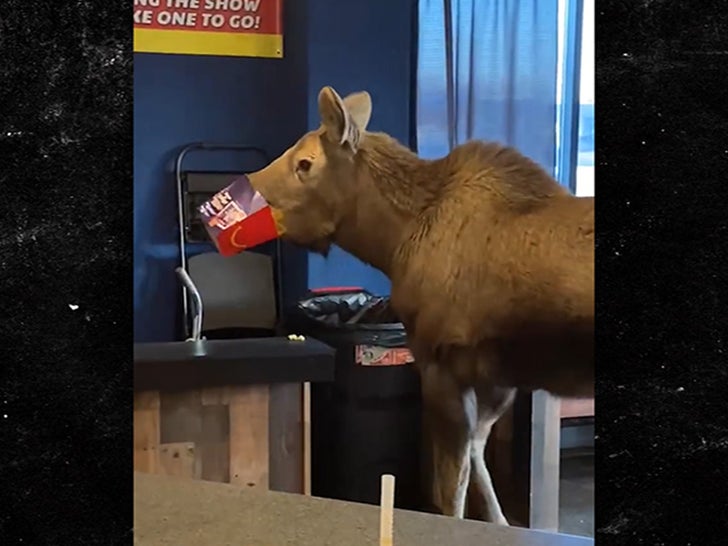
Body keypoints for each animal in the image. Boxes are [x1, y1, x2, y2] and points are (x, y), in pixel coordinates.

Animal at [246, 86, 594, 524]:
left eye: (305, 163)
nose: (239, 192)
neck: (393, 243)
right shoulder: (499, 377)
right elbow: (476, 459)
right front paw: (499, 522)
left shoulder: (441, 364)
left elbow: (451, 491)